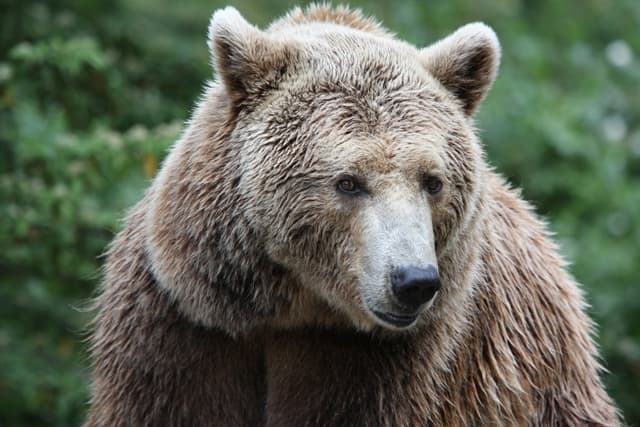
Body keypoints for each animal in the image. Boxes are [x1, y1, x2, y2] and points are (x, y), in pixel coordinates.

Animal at [84, 4, 620, 427]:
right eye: (348, 181)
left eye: (433, 180)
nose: (413, 280)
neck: (292, 307)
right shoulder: (182, 327)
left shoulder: (385, 365)